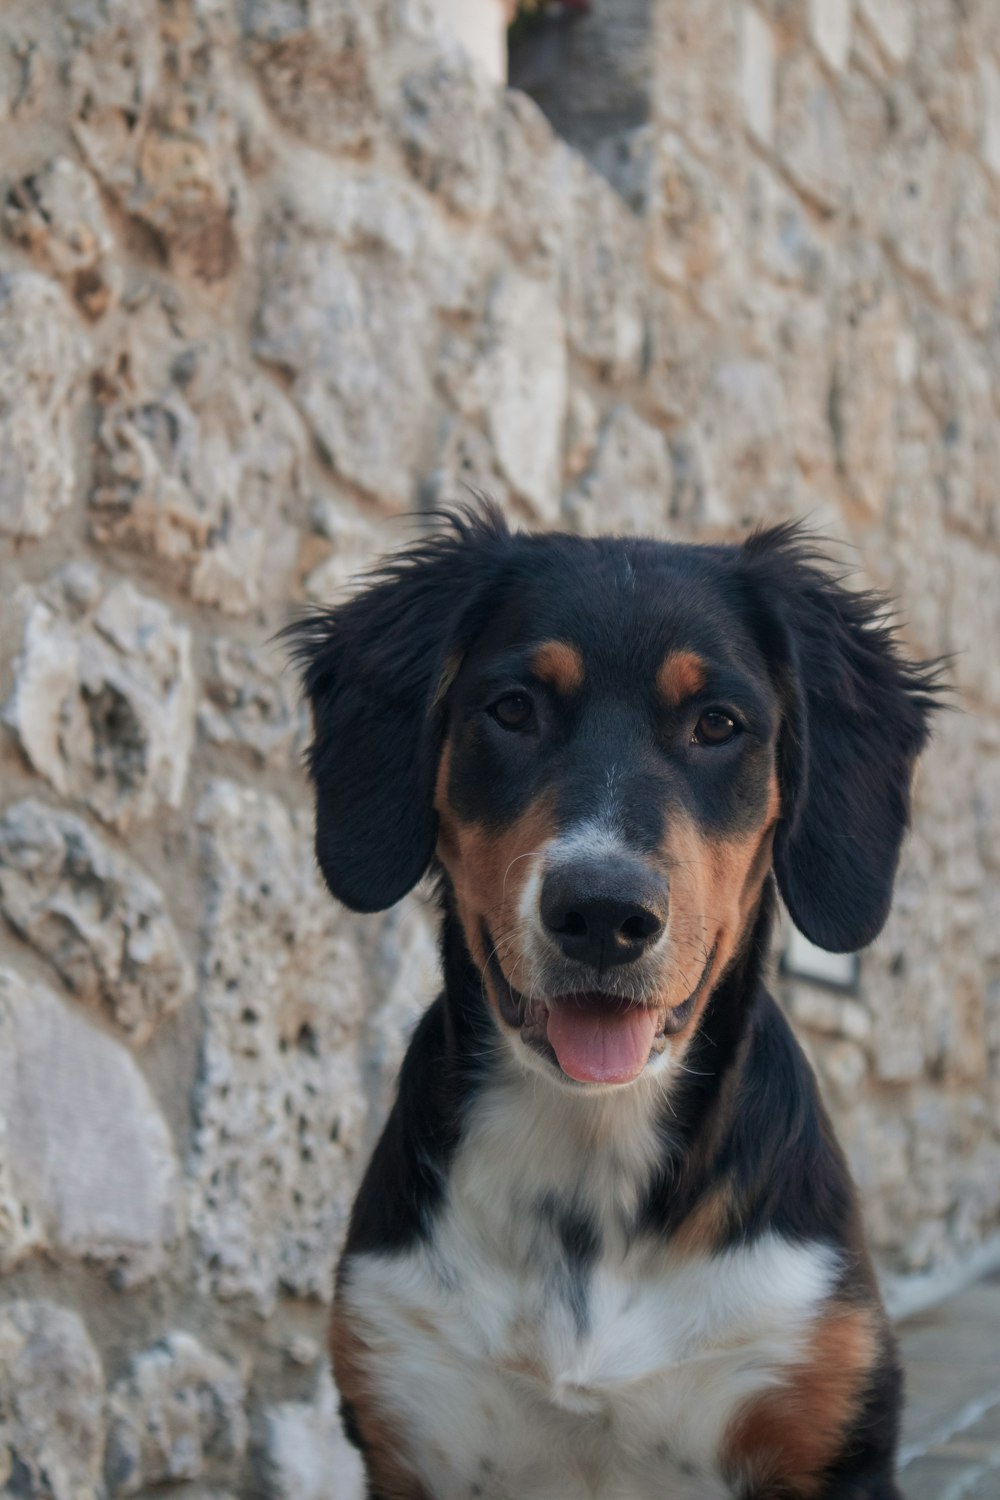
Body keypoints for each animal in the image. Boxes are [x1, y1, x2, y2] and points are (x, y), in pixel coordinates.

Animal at [287, 507, 941, 1500]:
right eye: (514, 708)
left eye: (718, 723)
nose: (601, 912)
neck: (589, 1156)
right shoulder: (408, 1410)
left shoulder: (826, 1426)